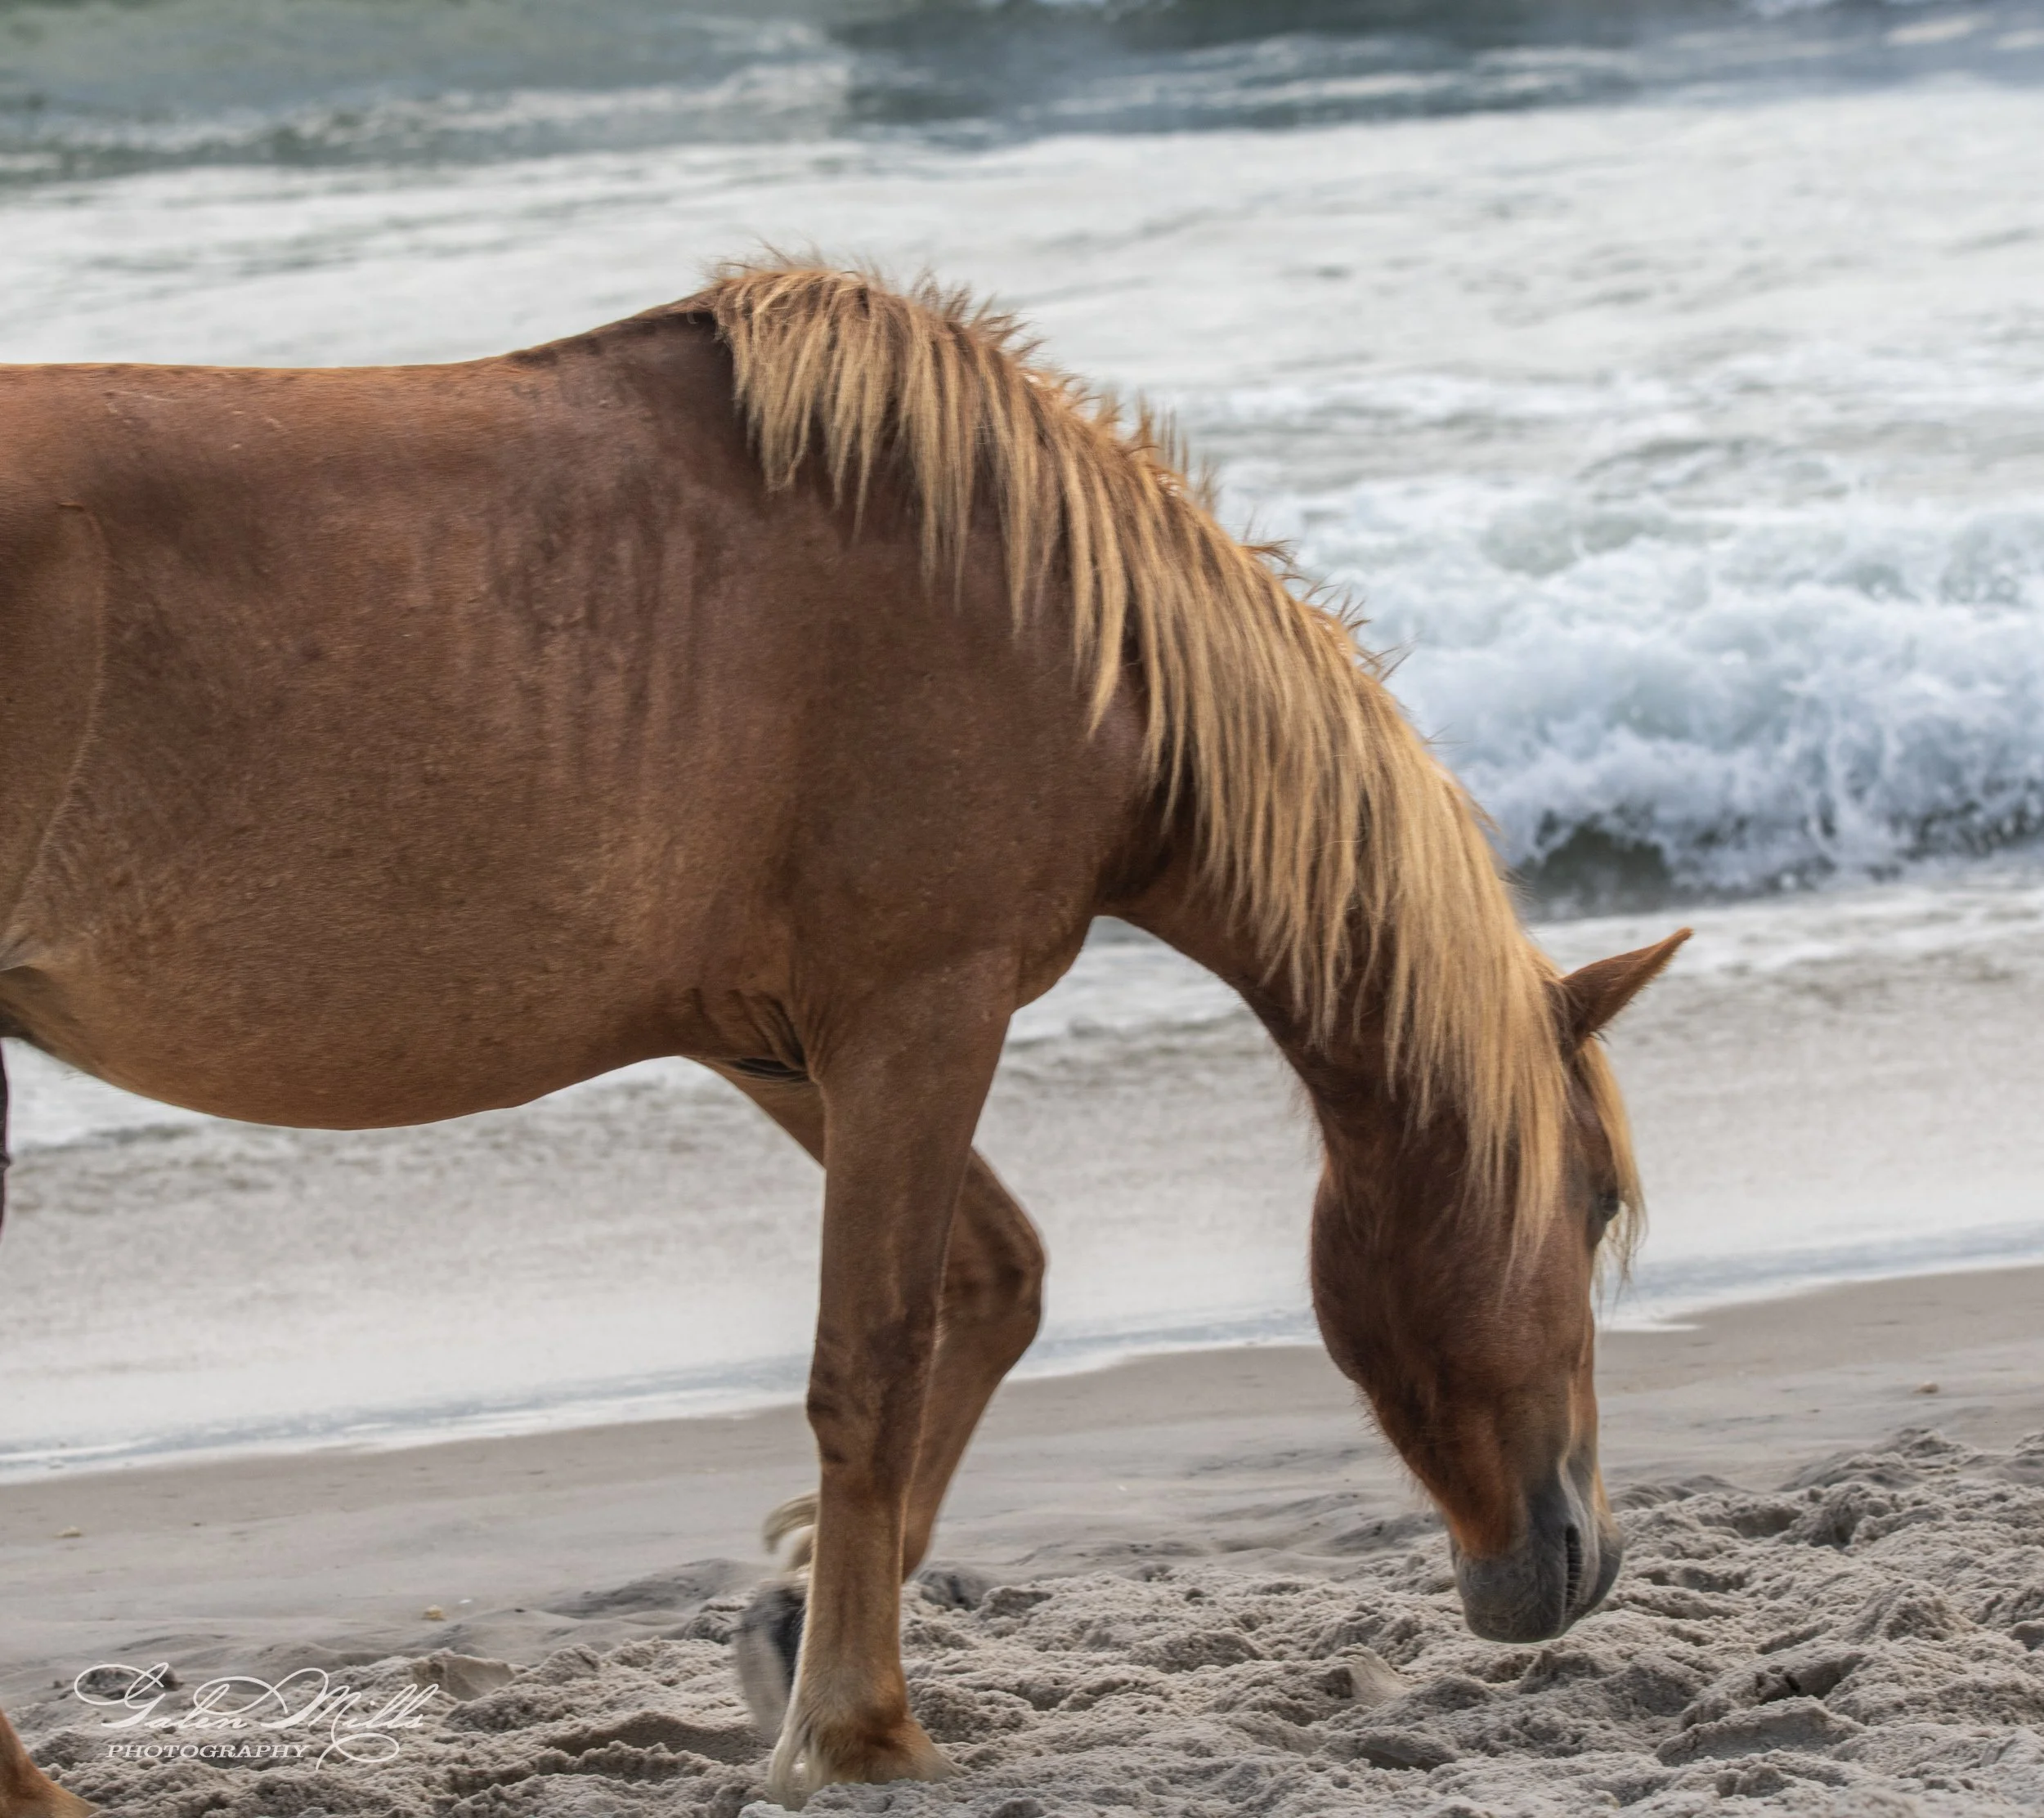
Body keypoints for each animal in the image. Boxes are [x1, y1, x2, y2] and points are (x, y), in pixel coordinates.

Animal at [0, 260, 1685, 1812]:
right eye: (1596, 1200)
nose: (1584, 1553)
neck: (1031, 600)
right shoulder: (917, 1012)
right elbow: (873, 1360)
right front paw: (858, 1723)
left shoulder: (782, 1045)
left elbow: (994, 1279)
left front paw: (796, 1611)